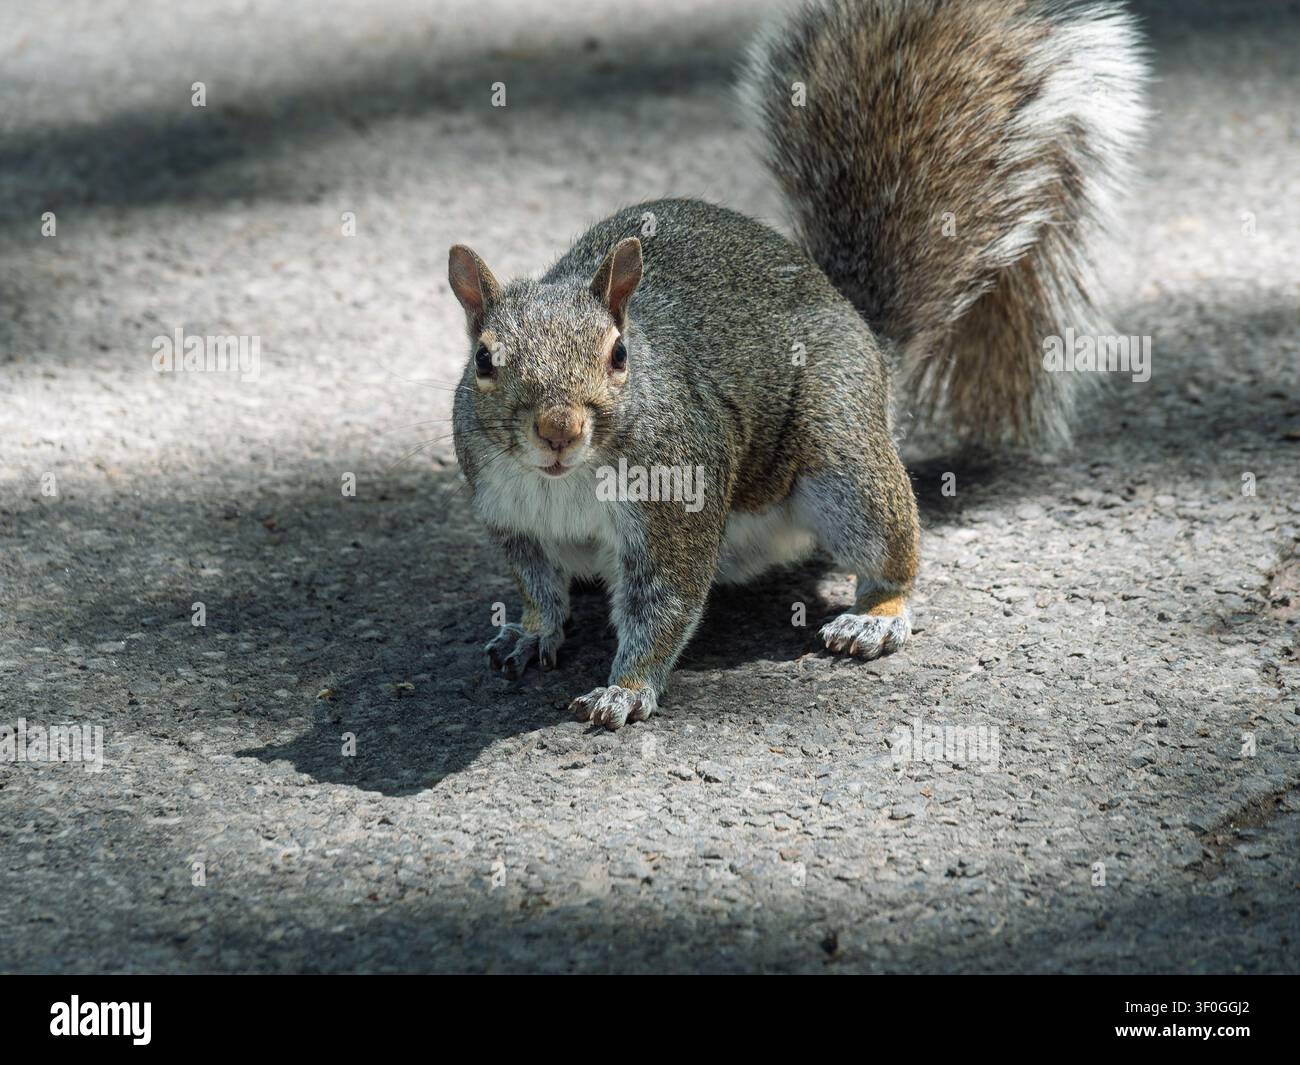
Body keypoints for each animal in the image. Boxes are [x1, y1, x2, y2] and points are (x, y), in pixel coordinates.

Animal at [447, 0, 1147, 729]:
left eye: (619, 354)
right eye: (484, 359)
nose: (558, 430)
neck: (562, 481)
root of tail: (862, 331)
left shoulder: (675, 504)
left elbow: (663, 604)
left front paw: (627, 688)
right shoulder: (509, 518)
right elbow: (537, 586)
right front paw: (531, 631)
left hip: (843, 459)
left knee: (891, 543)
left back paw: (876, 614)